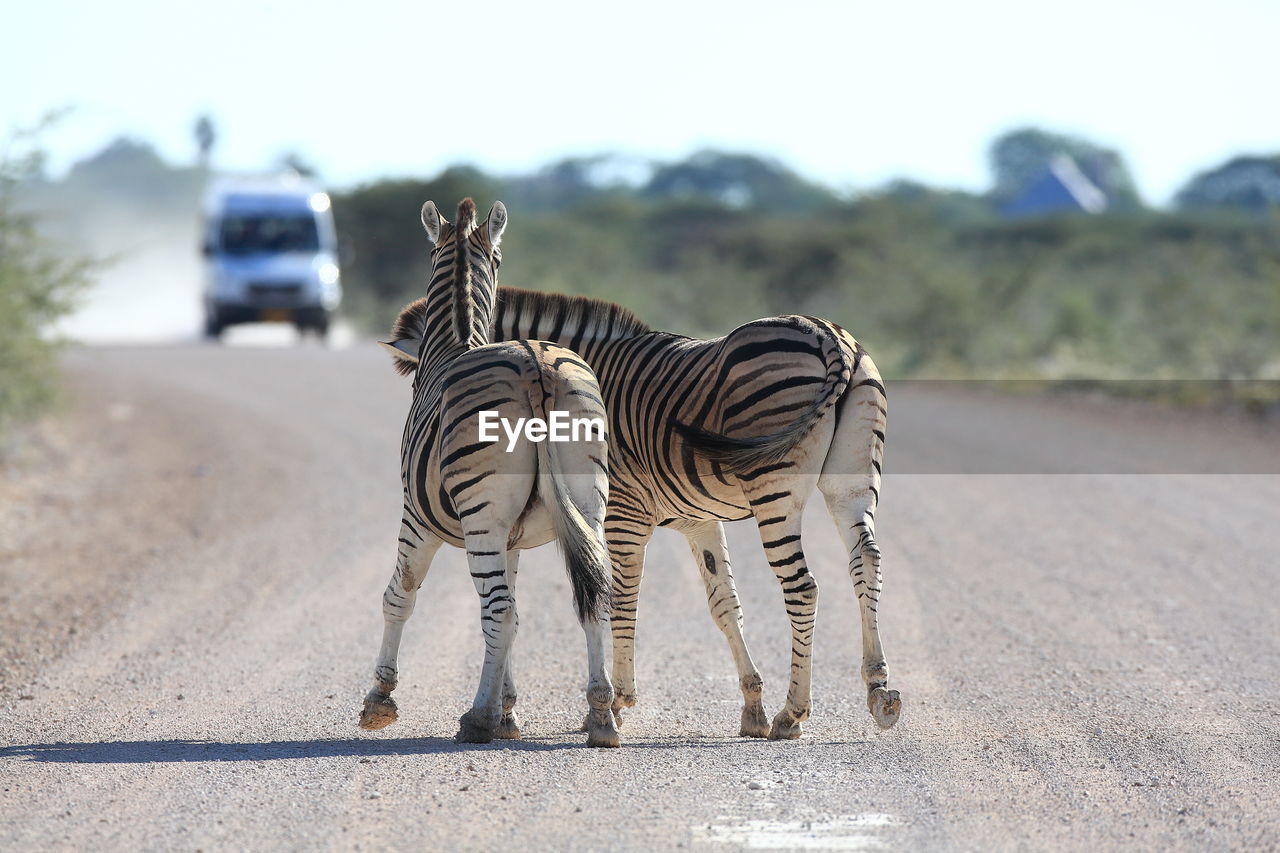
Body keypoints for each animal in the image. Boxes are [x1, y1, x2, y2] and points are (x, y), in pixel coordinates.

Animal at [358, 199, 622, 742]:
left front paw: (381, 698)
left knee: (495, 610)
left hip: (480, 518)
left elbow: (400, 595)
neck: (454, 343)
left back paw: (475, 718)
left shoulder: (416, 519)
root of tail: (536, 364)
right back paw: (601, 716)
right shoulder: (513, 537)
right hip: (586, 505)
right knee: (593, 597)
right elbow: (519, 618)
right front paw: (509, 710)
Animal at [389, 280, 901, 737]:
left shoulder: (623, 515)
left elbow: (620, 599)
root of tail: (829, 337)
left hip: (775, 490)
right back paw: (879, 692)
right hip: (852, 483)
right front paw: (751, 704)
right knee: (866, 561)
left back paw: (792, 713)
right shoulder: (700, 520)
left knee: (803, 586)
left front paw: (616, 703)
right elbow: (724, 603)